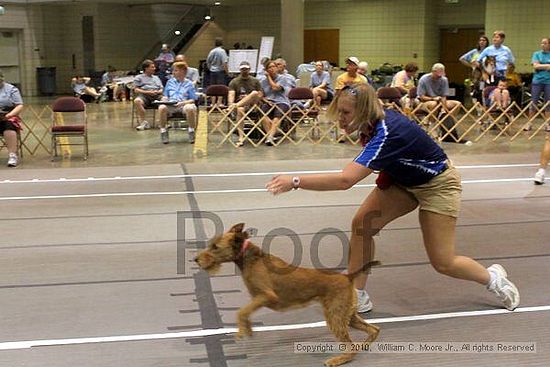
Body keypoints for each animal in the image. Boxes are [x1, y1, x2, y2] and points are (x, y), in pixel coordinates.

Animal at [196, 223, 382, 366]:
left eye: (215, 247)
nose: (195, 259)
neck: (251, 258)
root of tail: (348, 277)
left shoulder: (266, 296)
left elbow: (241, 312)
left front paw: (242, 330)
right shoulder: (258, 299)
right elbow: (245, 312)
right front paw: (247, 328)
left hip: (335, 317)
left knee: (352, 346)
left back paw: (338, 360)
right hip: (347, 315)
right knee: (373, 330)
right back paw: (364, 346)